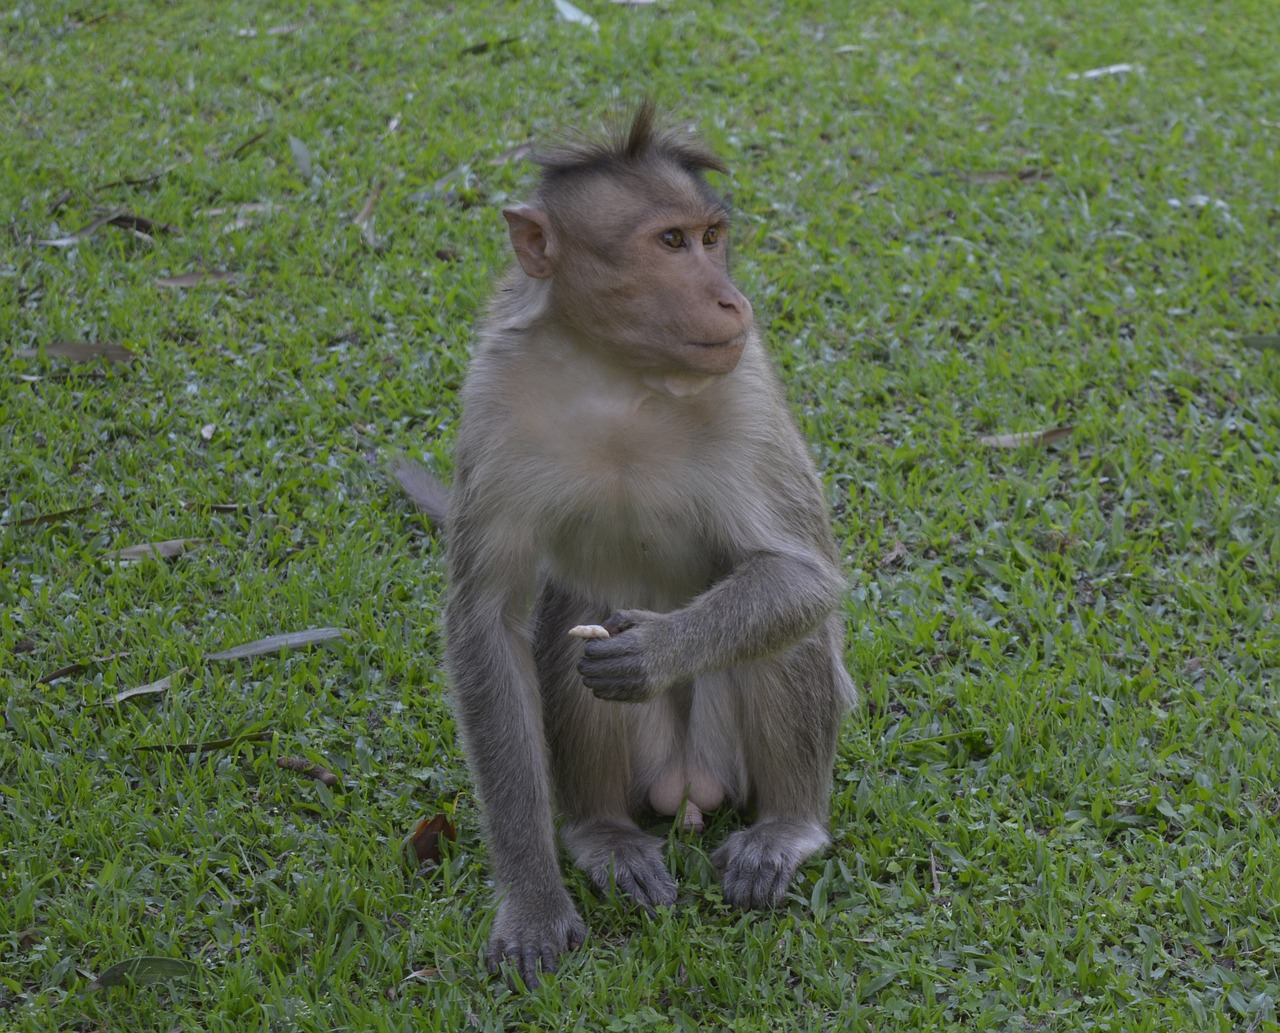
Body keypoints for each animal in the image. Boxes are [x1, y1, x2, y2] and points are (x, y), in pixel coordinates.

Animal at [399, 104, 855, 993]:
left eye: (712, 236)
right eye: (670, 242)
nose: (731, 299)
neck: (618, 374)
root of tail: (688, 789)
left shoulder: (747, 384)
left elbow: (803, 577)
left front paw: (659, 646)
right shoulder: (493, 394)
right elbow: (488, 620)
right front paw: (534, 898)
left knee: (783, 632)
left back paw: (787, 827)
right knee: (570, 613)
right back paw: (604, 835)